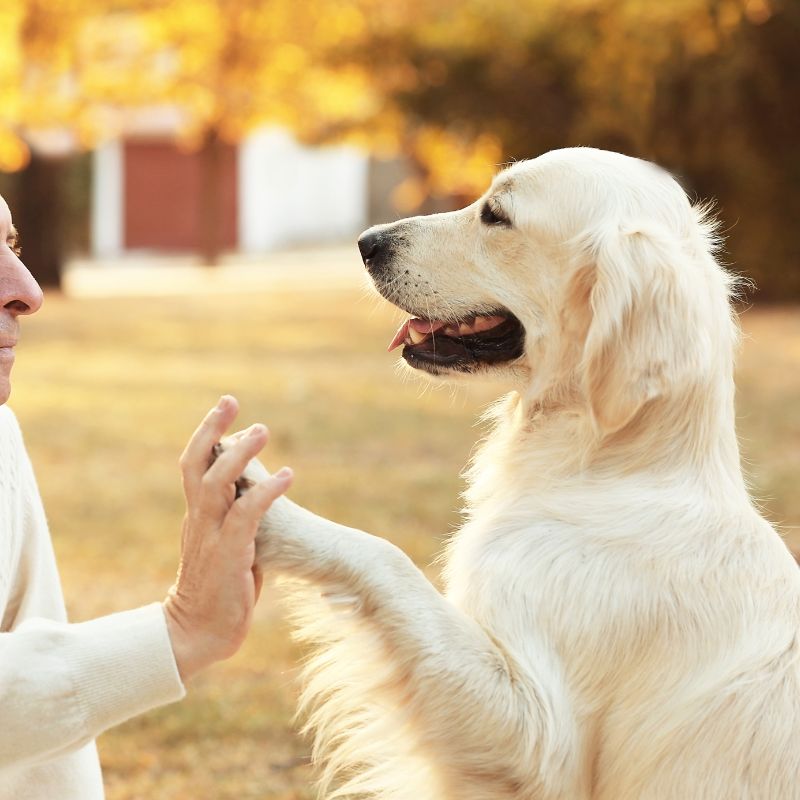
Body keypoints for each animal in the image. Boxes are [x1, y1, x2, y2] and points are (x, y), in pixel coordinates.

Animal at [228, 147, 796, 796]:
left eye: (496, 215)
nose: (367, 242)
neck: (613, 468)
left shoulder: (540, 740)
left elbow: (385, 558)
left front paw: (267, 506)